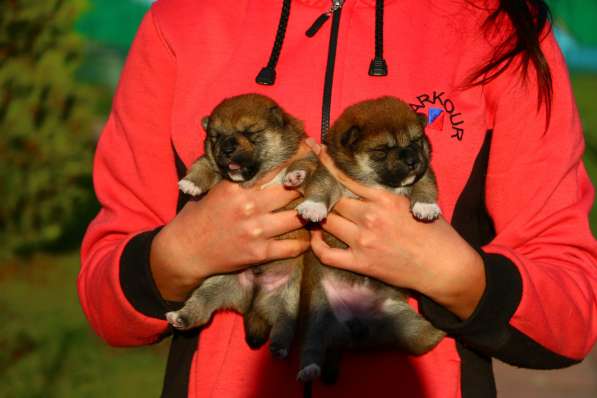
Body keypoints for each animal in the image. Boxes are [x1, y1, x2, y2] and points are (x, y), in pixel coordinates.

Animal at [166, 93, 308, 358]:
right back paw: (180, 317)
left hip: (290, 298)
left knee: (285, 323)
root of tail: (252, 299)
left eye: (249, 132)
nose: (227, 149)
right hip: (215, 283)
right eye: (216, 137)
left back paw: (280, 346)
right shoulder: (212, 164)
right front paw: (191, 183)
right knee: (200, 308)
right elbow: (203, 165)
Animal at [282, 95, 444, 382]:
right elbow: (320, 188)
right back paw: (309, 369)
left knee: (422, 336)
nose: (413, 160)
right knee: (313, 345)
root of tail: (353, 334)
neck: (377, 182)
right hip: (316, 319)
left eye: (416, 142)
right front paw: (313, 206)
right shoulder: (331, 177)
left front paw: (426, 206)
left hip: (407, 324)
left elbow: (424, 185)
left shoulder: (425, 173)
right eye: (382, 150)